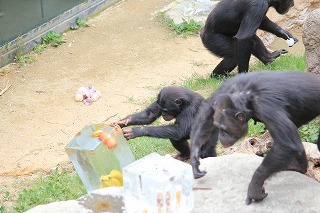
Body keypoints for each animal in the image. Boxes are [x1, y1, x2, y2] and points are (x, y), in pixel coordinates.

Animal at [190, 71, 320, 205]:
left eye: (224, 129)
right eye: (217, 126)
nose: (221, 135)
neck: (246, 95)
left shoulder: (267, 107)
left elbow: (287, 144)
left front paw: (254, 187)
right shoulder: (226, 89)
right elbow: (208, 114)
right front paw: (194, 157)